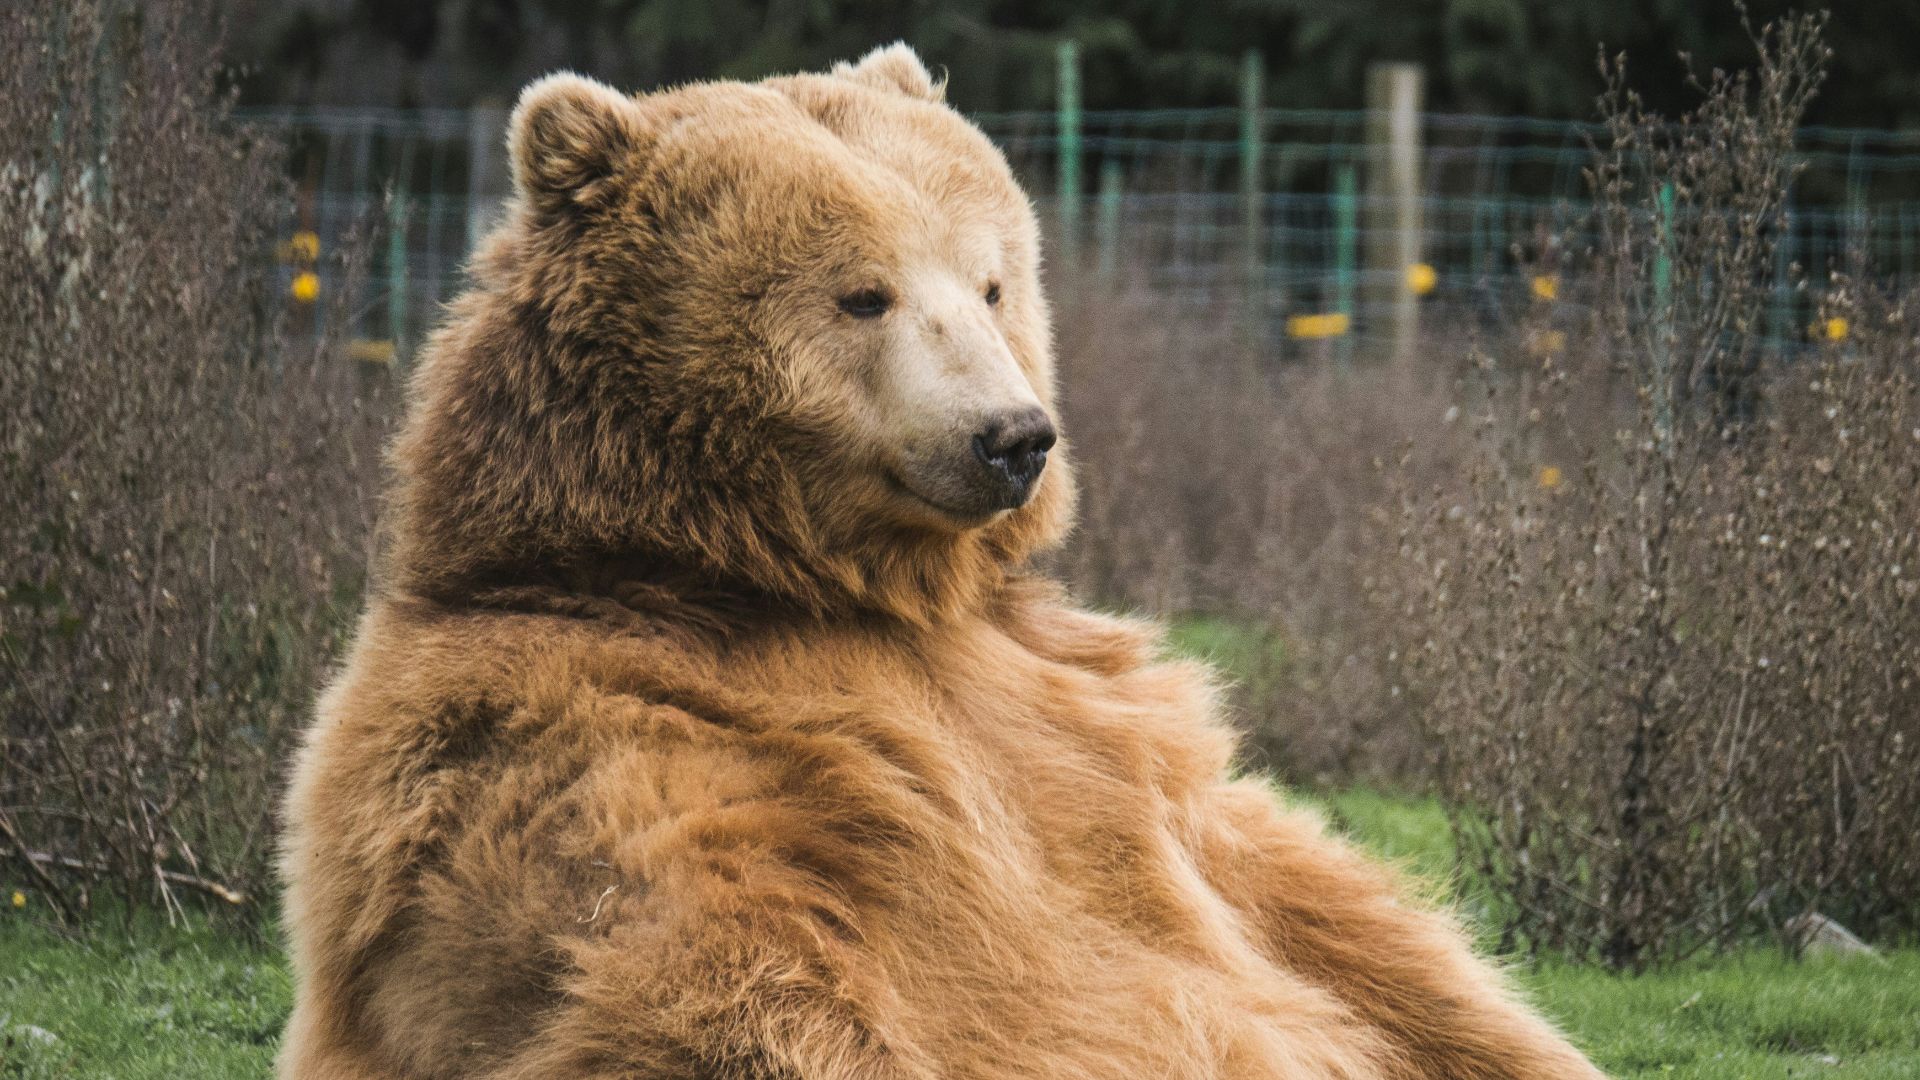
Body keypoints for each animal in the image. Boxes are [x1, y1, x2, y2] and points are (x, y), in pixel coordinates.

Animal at [276, 45, 1604, 1080]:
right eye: (863, 294)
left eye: (992, 281)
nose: (1014, 436)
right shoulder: (604, 728)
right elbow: (700, 975)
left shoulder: (1092, 720)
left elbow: (1335, 922)